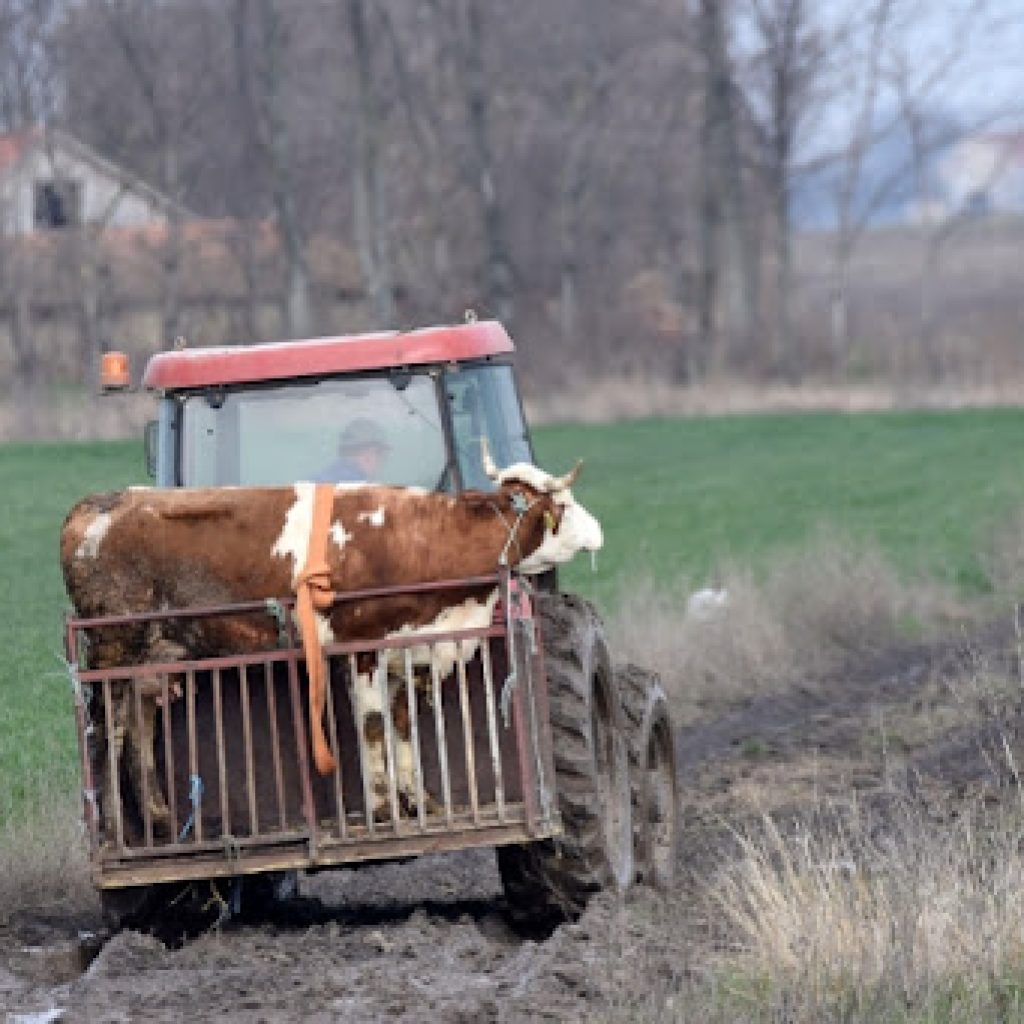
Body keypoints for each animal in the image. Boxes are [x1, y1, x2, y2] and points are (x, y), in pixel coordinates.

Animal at [59, 456, 602, 831]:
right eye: (563, 506)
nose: (597, 532)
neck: (414, 539)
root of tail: (100, 504)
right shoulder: (360, 648)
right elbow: (374, 726)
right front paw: (383, 809)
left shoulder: (405, 651)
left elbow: (401, 724)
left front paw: (422, 802)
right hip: (112, 646)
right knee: (106, 729)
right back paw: (113, 823)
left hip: (156, 654)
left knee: (138, 721)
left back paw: (155, 814)